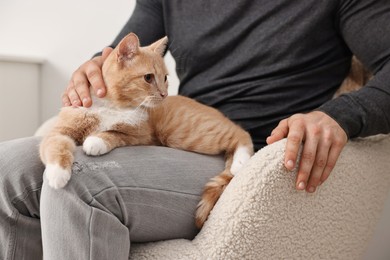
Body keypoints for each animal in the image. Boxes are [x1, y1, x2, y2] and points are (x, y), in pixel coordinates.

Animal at [38, 32, 253, 228]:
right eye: (148, 78)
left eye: (165, 77)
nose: (164, 94)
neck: (112, 105)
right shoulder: (59, 131)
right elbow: (54, 145)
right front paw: (57, 173)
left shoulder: (140, 135)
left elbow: (113, 134)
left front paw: (94, 141)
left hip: (183, 133)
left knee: (240, 133)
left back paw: (240, 162)